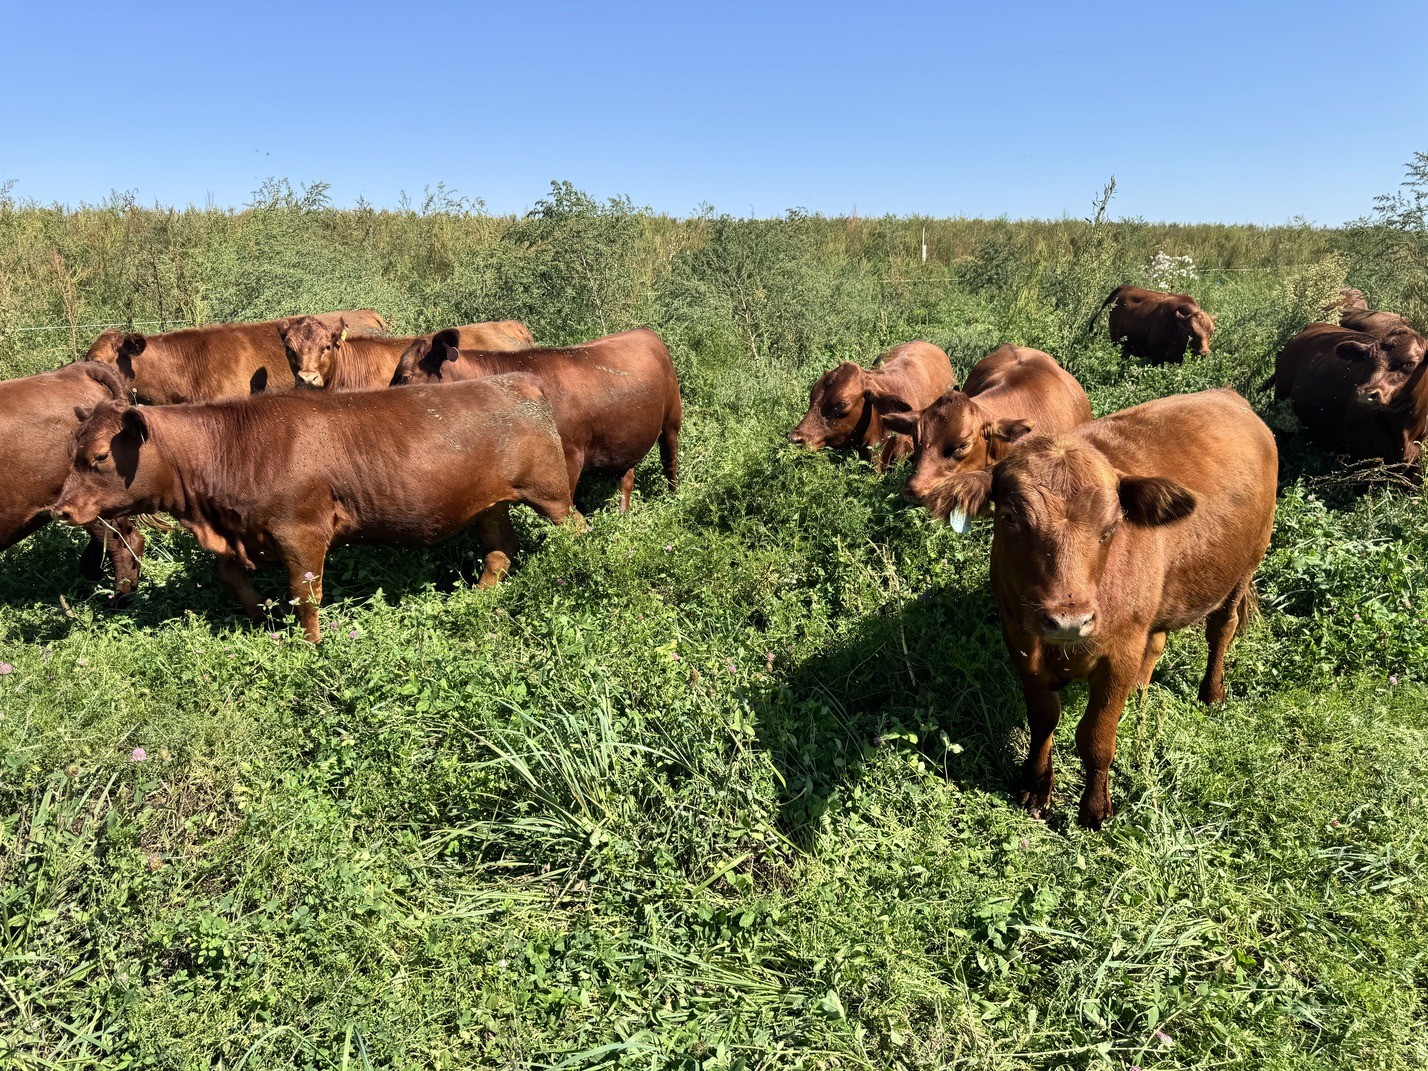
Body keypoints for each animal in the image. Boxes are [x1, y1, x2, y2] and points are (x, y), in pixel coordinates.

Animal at [51, 375, 579, 642]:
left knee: (578, 529)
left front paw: (311, 645)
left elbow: (305, 596)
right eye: (72, 448)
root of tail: (516, 380)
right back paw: (476, 599)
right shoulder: (243, 535)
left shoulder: (299, 532)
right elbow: (232, 577)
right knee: (499, 550)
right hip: (489, 504)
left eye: (100, 456)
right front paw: (261, 618)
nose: (61, 509)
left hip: (551, 494)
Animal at [393, 327, 682, 512]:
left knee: (670, 463)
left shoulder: (568, 458)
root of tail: (644, 331)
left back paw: (674, 499)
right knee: (627, 477)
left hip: (672, 420)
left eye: (405, 377)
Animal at [923, 389, 1277, 828]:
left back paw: (1211, 692)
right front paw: (1035, 785)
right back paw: (1142, 691)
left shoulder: (1118, 656)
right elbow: (1043, 720)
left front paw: (1094, 809)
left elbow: (1095, 737)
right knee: (1157, 642)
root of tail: (1228, 396)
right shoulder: (1020, 641)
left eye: (1111, 526)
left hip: (1245, 567)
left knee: (1221, 630)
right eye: (1008, 518)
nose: (1068, 620)